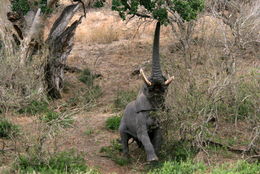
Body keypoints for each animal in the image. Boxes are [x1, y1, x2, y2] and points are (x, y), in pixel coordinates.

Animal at [120, 21, 175, 162]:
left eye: (165, 91)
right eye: (148, 89)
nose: (160, 20)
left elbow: (158, 136)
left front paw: (158, 157)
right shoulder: (139, 117)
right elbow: (143, 135)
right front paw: (153, 160)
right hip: (122, 123)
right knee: (123, 137)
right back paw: (126, 158)